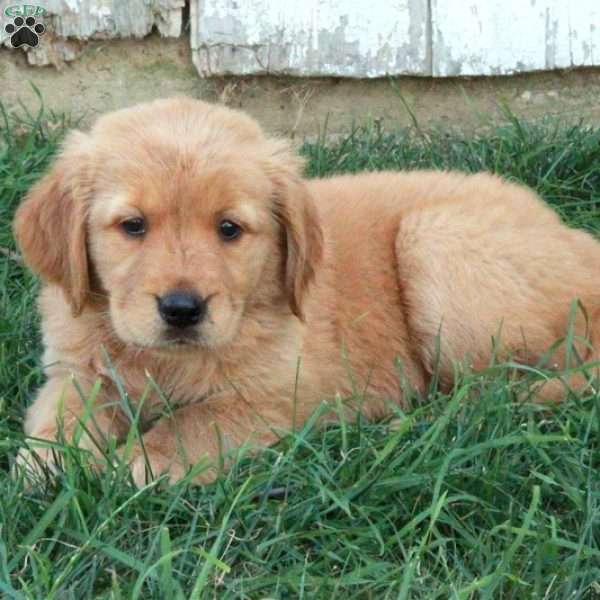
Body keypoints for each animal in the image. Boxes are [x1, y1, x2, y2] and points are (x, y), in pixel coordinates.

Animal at [11, 97, 600, 482]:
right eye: (132, 226)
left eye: (229, 229)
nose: (182, 309)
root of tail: (577, 240)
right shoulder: (75, 369)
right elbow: (59, 419)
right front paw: (41, 474)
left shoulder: (278, 393)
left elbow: (195, 423)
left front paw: (140, 463)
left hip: (433, 240)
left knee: (505, 390)